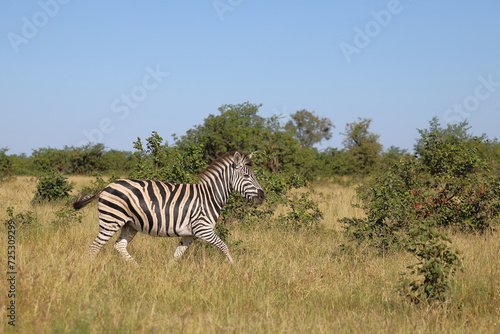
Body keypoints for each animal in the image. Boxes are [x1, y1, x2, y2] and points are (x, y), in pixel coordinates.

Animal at [73, 151, 266, 264]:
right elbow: (224, 246)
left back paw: (136, 268)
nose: (263, 196)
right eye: (247, 176)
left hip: (129, 225)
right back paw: (89, 269)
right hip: (111, 221)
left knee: (119, 246)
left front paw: (168, 273)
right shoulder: (203, 229)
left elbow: (177, 255)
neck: (210, 196)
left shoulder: (189, 234)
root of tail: (106, 187)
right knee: (94, 247)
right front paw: (234, 268)